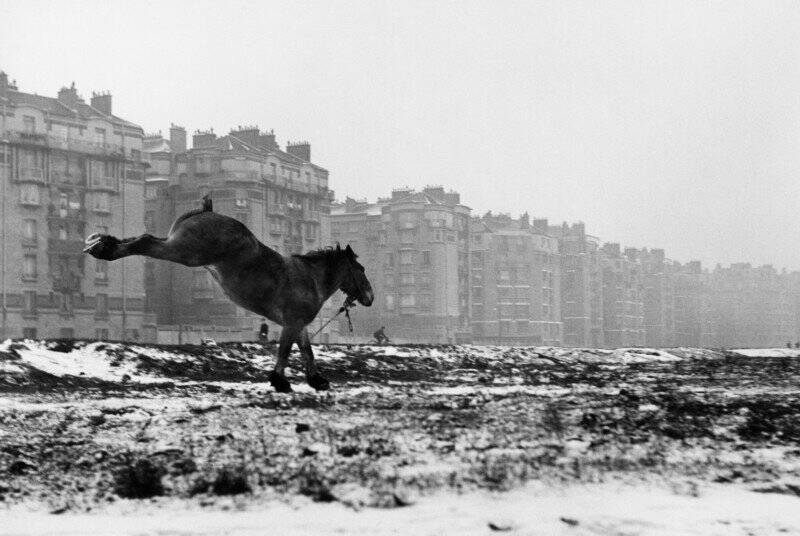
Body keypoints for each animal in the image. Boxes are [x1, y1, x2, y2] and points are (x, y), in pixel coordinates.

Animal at [84, 195, 376, 392]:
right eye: (360, 269)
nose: (370, 297)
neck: (309, 278)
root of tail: (205, 212)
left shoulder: (299, 324)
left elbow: (306, 351)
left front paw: (316, 380)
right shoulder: (292, 323)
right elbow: (285, 351)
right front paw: (280, 381)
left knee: (142, 239)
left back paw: (101, 244)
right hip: (184, 252)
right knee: (144, 241)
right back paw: (103, 250)